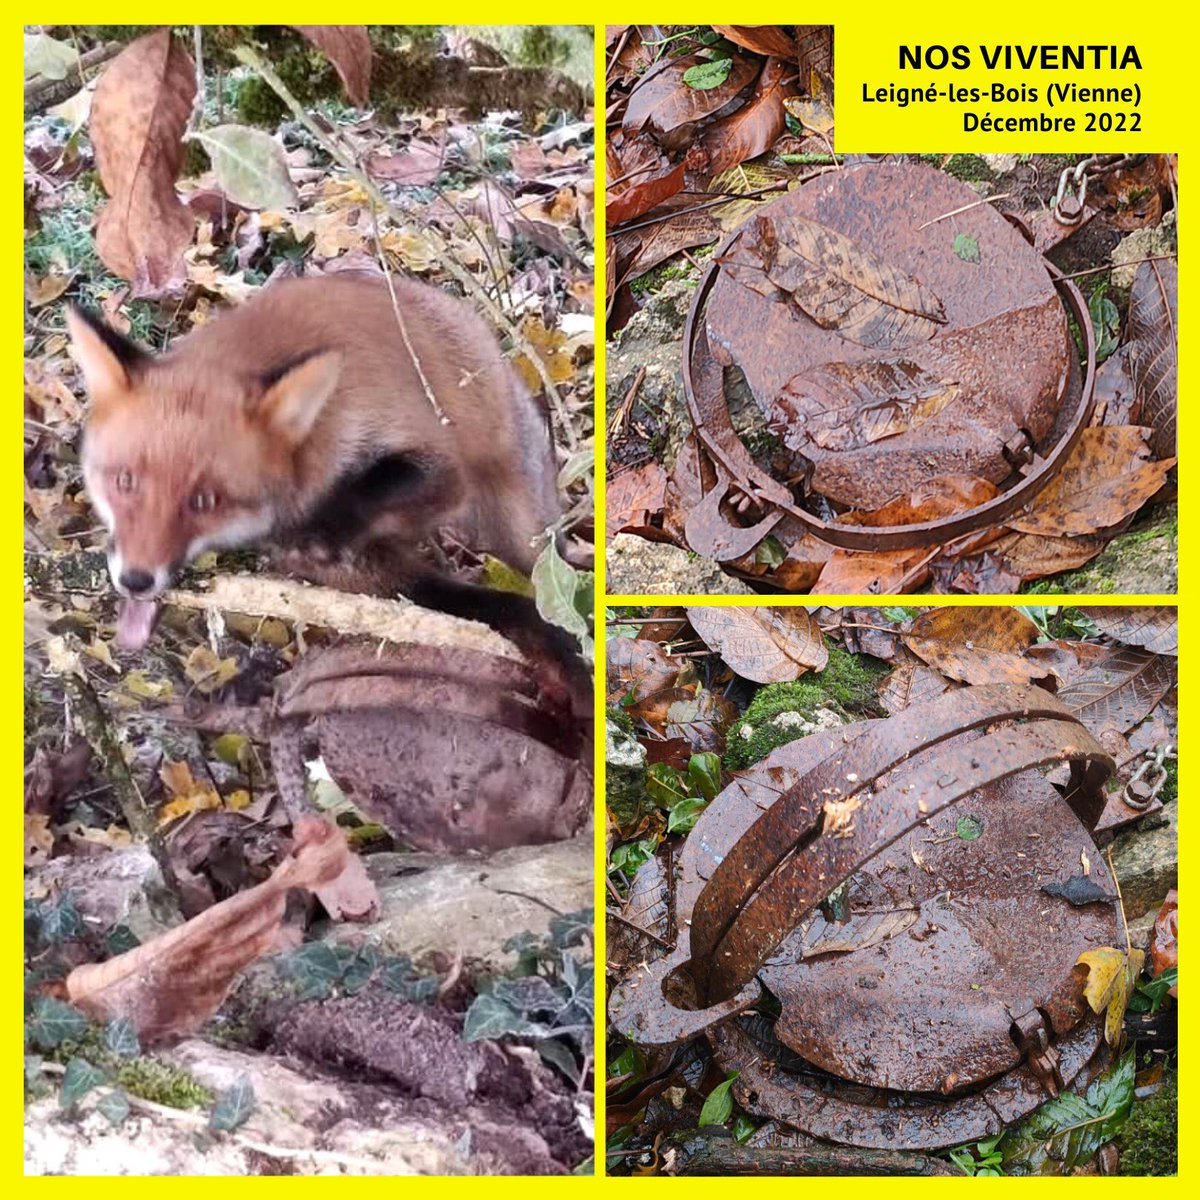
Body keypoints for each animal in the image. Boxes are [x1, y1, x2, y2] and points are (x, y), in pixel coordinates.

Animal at [68, 273, 584, 700]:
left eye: (204, 500)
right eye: (125, 480)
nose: (136, 580)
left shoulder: (438, 463)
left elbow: (376, 489)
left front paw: (327, 525)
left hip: (518, 519)